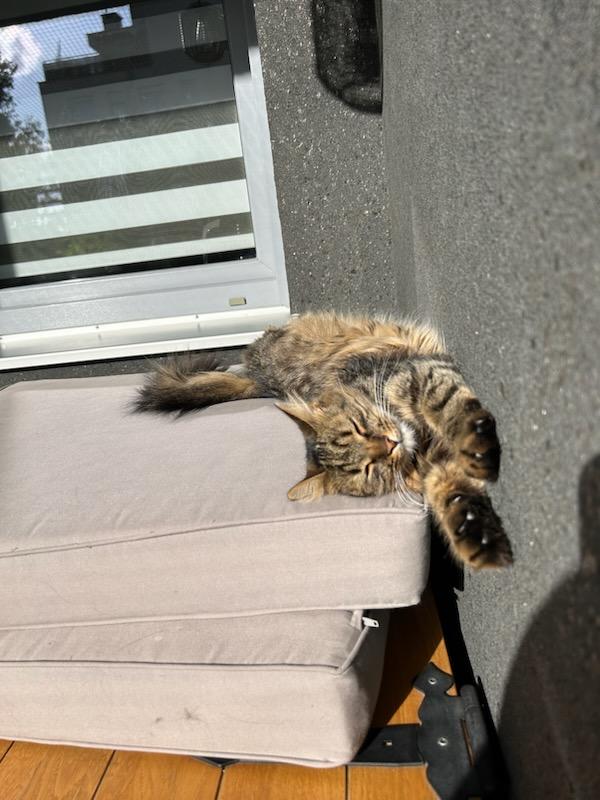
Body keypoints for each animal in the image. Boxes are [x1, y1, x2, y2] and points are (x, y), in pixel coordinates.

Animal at [135, 312, 513, 570]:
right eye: (368, 469)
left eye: (359, 428)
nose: (390, 443)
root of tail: (257, 381)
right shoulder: (436, 468)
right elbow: (453, 497)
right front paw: (477, 538)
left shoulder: (416, 374)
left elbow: (444, 403)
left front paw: (473, 441)